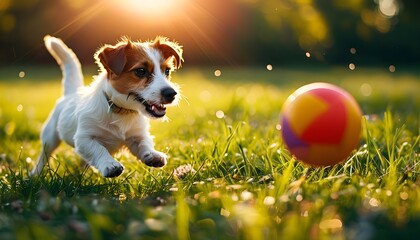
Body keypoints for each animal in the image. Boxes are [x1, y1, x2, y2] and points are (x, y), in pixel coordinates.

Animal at [32, 36, 183, 178]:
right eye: (140, 71)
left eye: (167, 71)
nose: (171, 93)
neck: (122, 112)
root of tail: (72, 92)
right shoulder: (84, 138)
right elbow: (99, 149)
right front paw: (110, 164)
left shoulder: (137, 135)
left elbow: (144, 143)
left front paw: (152, 155)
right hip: (49, 136)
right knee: (44, 155)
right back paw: (35, 174)